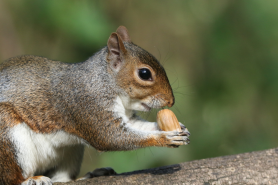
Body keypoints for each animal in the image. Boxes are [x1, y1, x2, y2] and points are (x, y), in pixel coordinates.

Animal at [0, 26, 189, 185]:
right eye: (144, 73)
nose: (170, 101)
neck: (105, 82)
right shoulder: (89, 107)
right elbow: (110, 137)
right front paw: (165, 138)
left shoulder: (125, 116)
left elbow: (138, 126)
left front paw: (179, 129)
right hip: (8, 136)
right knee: (11, 178)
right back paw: (31, 179)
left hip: (70, 152)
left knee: (62, 178)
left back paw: (89, 175)